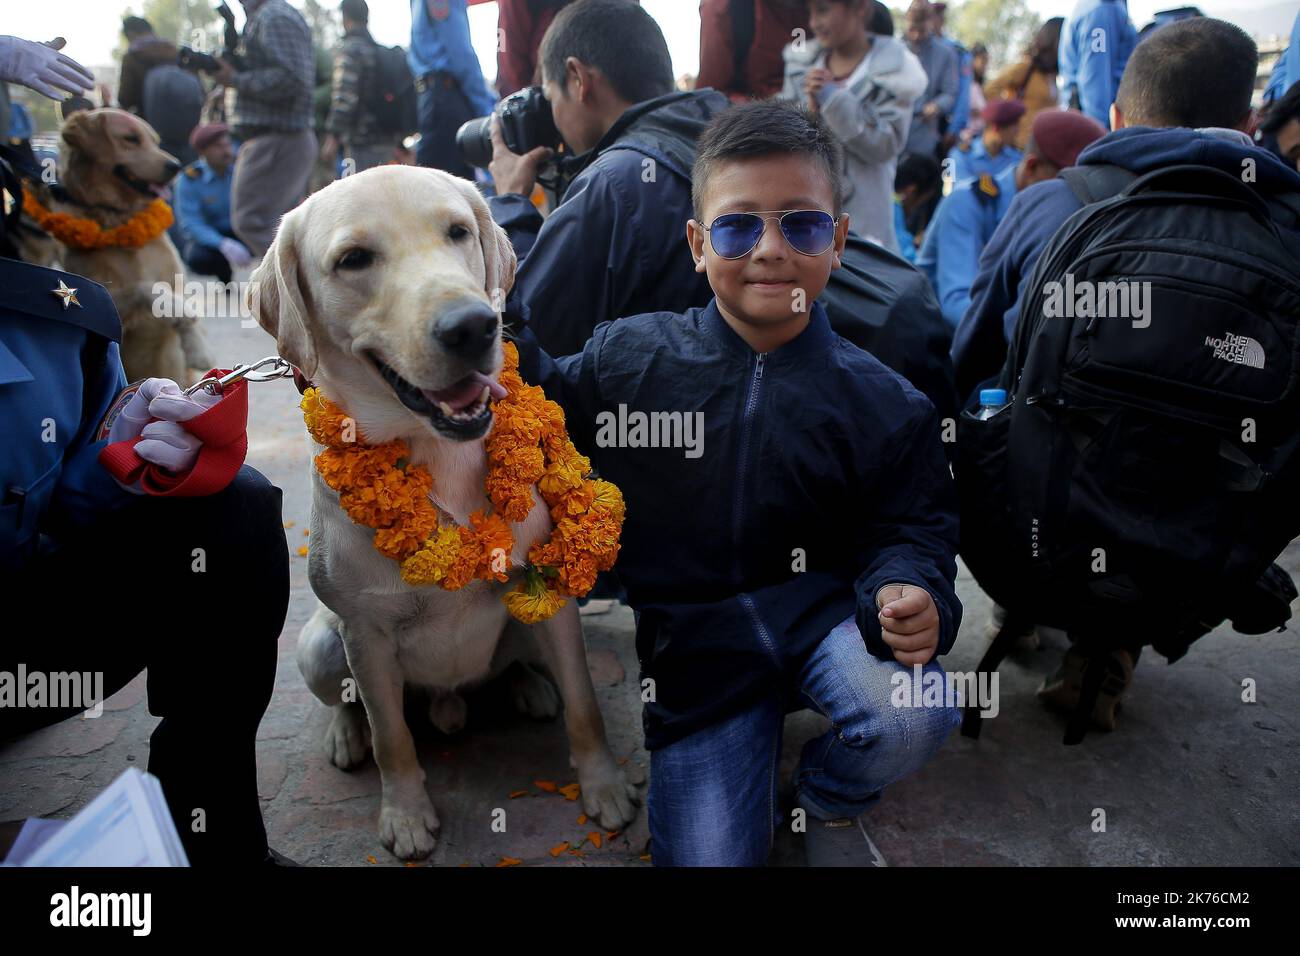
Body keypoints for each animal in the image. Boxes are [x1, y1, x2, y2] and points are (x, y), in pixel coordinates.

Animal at [47, 107, 210, 382]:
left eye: (154, 141)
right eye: (130, 139)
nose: (175, 166)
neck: (120, 219)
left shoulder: (179, 281)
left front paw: (198, 348)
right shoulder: (102, 304)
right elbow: (142, 286)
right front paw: (173, 307)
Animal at [250, 162, 642, 858]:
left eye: (458, 231)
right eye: (353, 260)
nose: (472, 326)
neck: (440, 455)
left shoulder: (551, 592)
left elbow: (585, 704)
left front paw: (604, 786)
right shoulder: (366, 636)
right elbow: (392, 739)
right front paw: (405, 814)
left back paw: (527, 686)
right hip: (319, 648)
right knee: (352, 704)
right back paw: (345, 734)